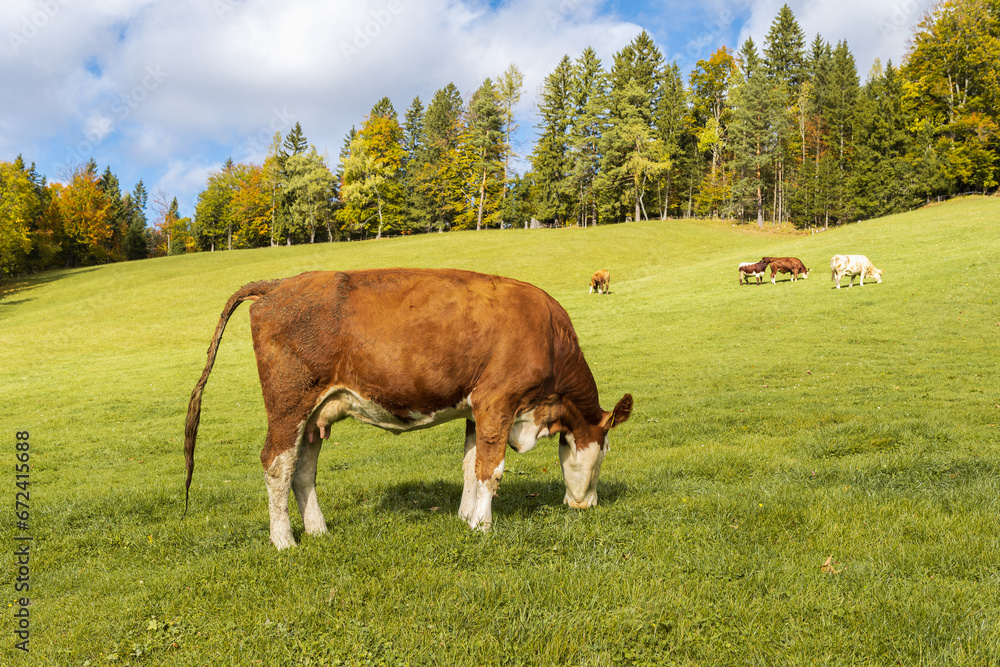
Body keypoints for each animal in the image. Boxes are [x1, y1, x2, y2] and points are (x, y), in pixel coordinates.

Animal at [184, 268, 633, 549]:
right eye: (605, 452)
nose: (585, 506)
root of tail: (282, 284)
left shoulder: (475, 409)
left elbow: (470, 465)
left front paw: (466, 518)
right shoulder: (497, 401)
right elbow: (491, 469)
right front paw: (484, 526)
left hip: (314, 414)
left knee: (303, 470)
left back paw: (318, 530)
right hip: (288, 404)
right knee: (276, 464)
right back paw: (283, 540)